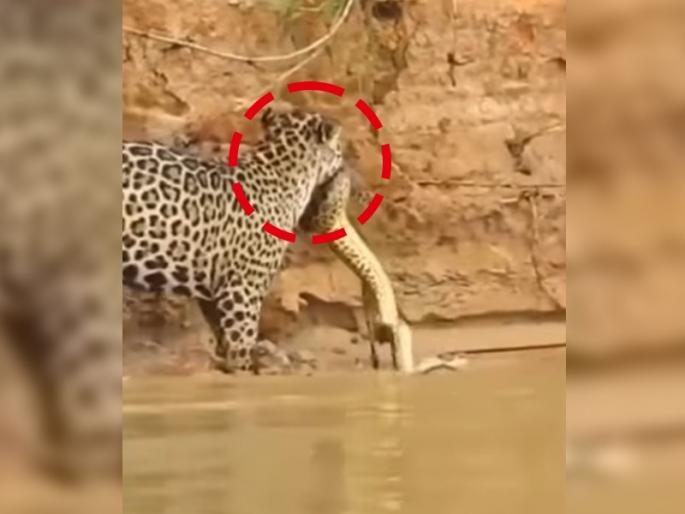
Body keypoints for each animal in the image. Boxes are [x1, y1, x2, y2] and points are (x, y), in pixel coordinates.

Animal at [122, 107, 345, 373]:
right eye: (340, 148)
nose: (345, 166)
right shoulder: (243, 290)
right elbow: (241, 343)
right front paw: (243, 370)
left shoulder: (212, 291)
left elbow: (222, 339)